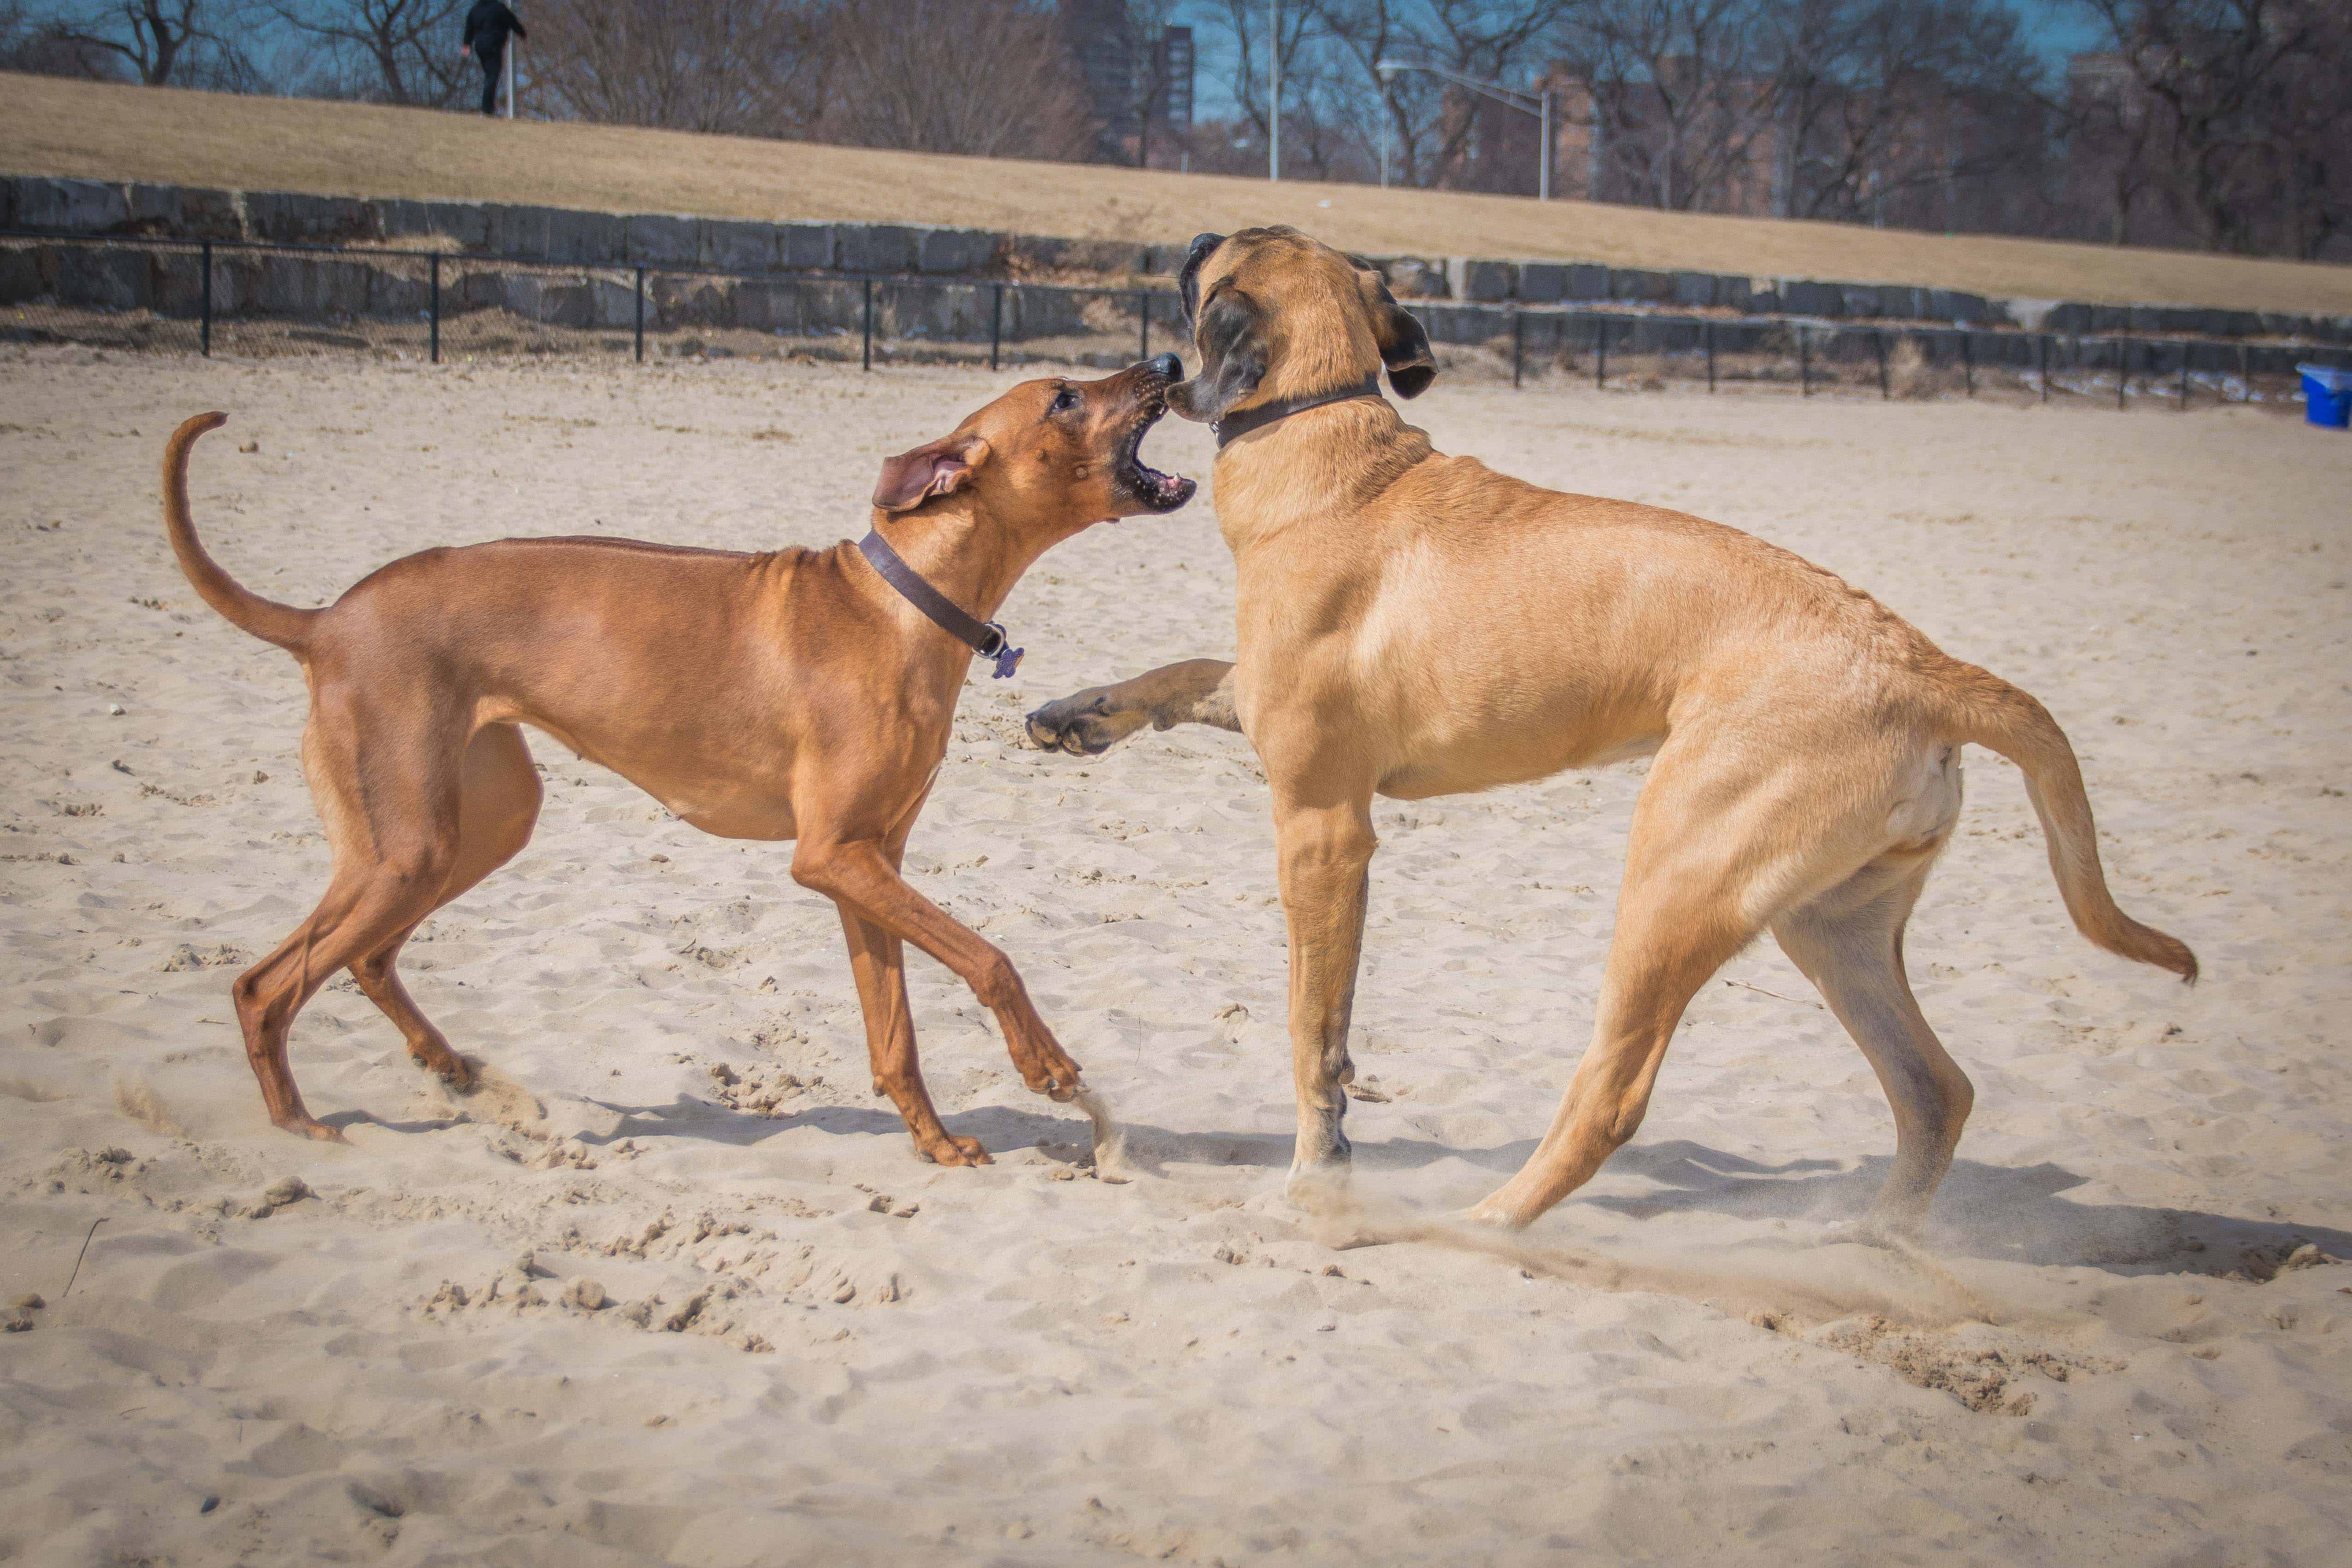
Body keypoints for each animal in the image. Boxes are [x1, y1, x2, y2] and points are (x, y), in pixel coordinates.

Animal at [163, 360, 1194, 1166]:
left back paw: (448, 1066)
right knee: (268, 983)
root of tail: (325, 621)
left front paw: (934, 1141)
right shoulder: (833, 857)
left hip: (476, 824)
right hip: (409, 841)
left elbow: (894, 1032)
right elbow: (992, 957)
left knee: (367, 955)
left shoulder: (865, 864)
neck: (905, 600)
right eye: (1064, 397)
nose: (1165, 363)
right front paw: (1047, 1067)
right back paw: (298, 1127)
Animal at [1021, 230, 2192, 1241]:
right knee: (1935, 1086)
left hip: (1680, 878)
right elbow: (1180, 673)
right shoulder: (1261, 703)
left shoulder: (1321, 824)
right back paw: (1871, 1240)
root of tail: (1921, 664)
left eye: (1220, 251)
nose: (1187, 237)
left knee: (1614, 1094)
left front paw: (1317, 1174)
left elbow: (1316, 1032)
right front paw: (1079, 710)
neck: (1327, 438)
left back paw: (1485, 1222)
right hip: (1832, 921)